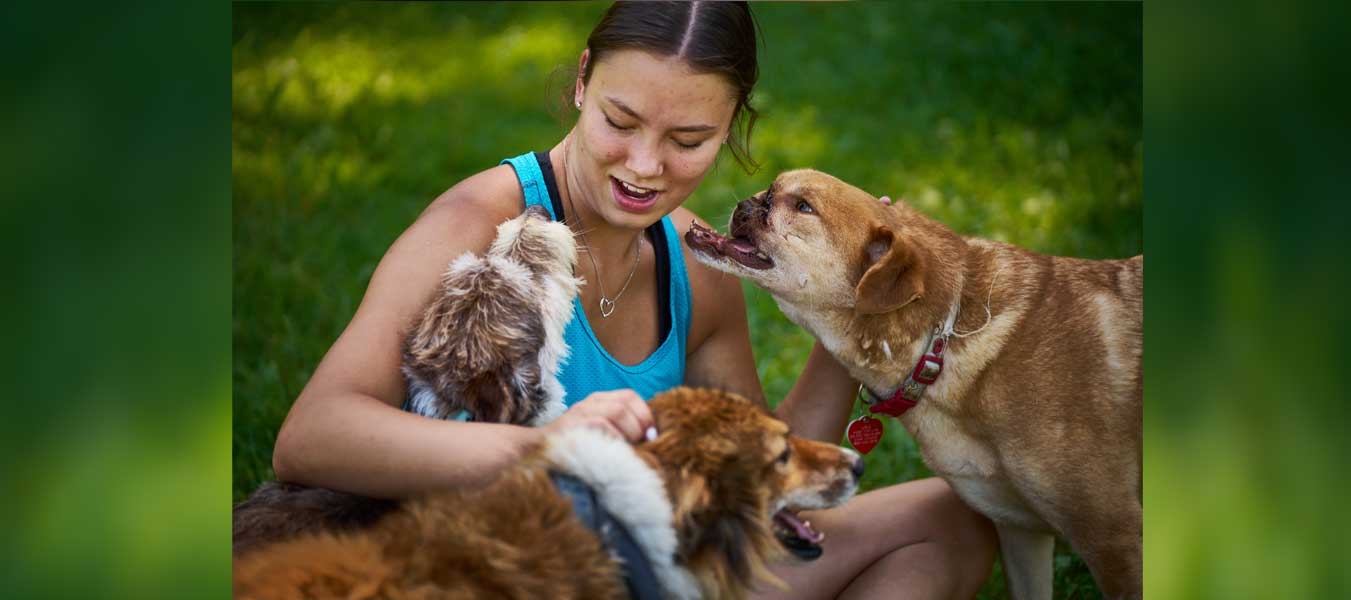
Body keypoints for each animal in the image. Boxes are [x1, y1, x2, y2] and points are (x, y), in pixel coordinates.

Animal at [686, 168, 1140, 600]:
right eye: (771, 187)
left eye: (803, 207)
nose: (746, 203)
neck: (942, 340)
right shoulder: (1019, 530)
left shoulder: (1114, 540)